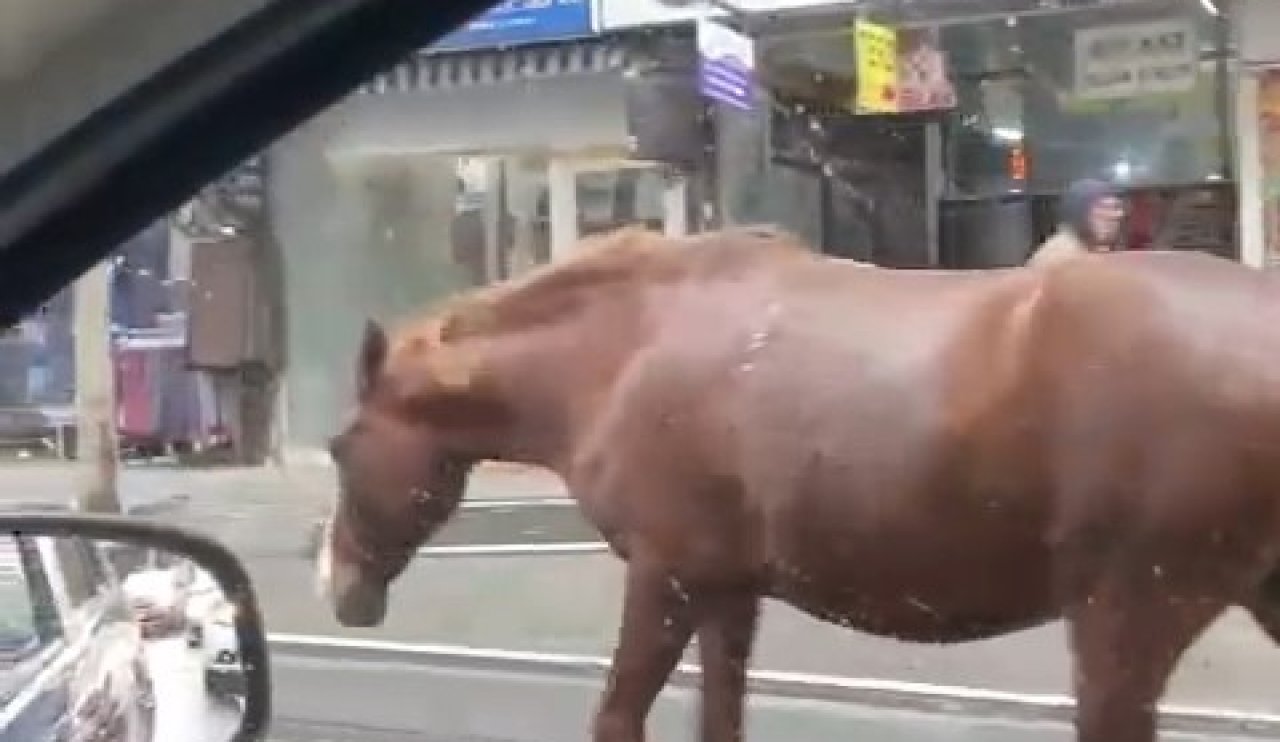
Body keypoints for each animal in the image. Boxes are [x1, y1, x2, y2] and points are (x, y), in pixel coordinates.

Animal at [314, 227, 1280, 742]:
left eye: (338, 445)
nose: (337, 585)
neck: (620, 354)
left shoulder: (666, 578)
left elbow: (618, 717)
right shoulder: (726, 590)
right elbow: (720, 720)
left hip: (1129, 614)